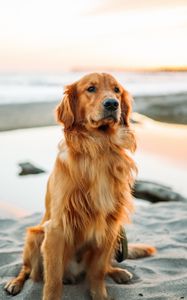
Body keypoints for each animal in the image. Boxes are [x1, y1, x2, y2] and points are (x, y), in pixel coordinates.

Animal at [5, 73, 156, 300]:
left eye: (117, 90)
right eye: (91, 88)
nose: (112, 104)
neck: (99, 147)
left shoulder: (110, 225)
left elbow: (98, 272)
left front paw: (101, 295)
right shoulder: (56, 228)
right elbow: (53, 281)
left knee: (104, 266)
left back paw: (118, 272)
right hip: (35, 236)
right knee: (27, 270)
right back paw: (15, 283)